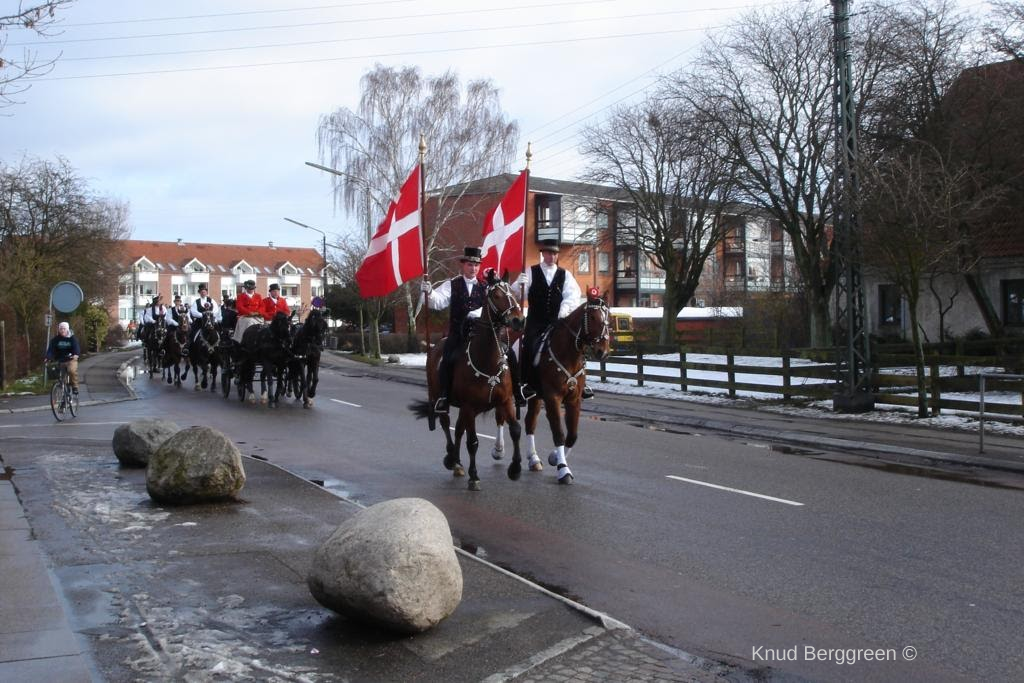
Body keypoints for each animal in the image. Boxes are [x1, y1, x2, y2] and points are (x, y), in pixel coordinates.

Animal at [411, 268, 524, 491]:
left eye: (512, 293)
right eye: (496, 295)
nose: (518, 320)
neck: (487, 360)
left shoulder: (505, 401)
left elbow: (515, 430)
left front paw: (515, 469)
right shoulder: (470, 406)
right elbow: (473, 442)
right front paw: (474, 476)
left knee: (458, 429)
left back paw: (456, 461)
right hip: (443, 399)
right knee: (446, 424)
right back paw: (452, 459)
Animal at [520, 290, 606, 483]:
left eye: (608, 318)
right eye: (593, 317)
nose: (603, 351)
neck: (569, 354)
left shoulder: (573, 400)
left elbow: (572, 435)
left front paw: (555, 457)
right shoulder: (553, 398)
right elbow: (558, 433)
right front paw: (563, 469)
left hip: (535, 397)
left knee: (530, 422)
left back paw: (533, 459)